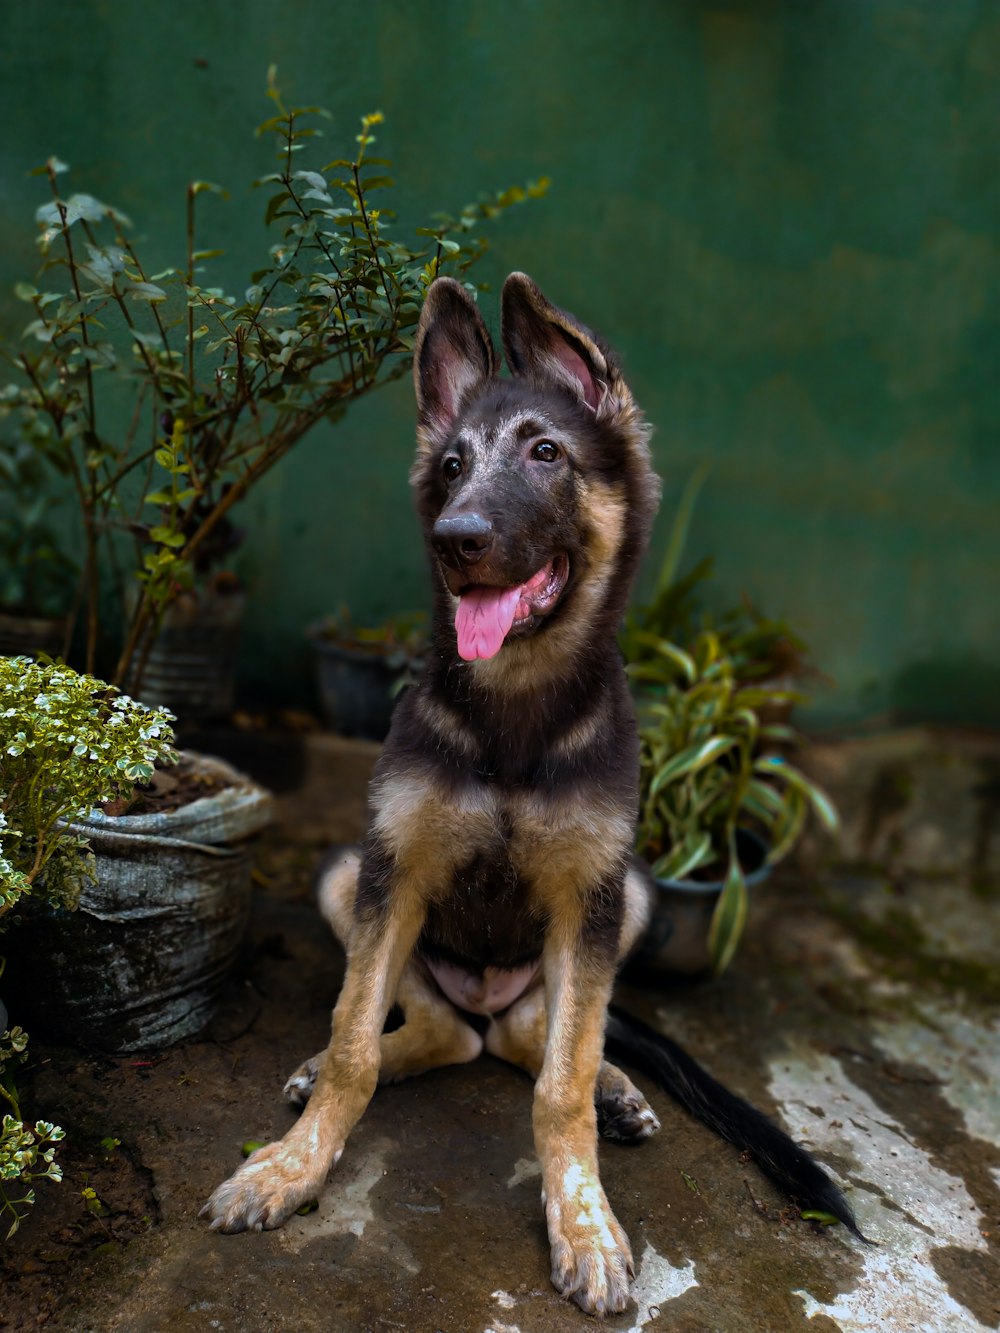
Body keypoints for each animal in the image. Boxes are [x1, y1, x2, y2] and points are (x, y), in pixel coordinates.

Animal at [204, 270, 864, 1311]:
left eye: (547, 452)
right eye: (451, 464)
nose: (456, 538)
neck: (515, 709)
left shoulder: (590, 895)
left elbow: (561, 1081)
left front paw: (583, 1218)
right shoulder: (395, 869)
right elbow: (355, 1040)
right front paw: (292, 1164)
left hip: (630, 894)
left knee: (527, 1031)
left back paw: (615, 1090)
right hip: (348, 875)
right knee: (445, 1028)